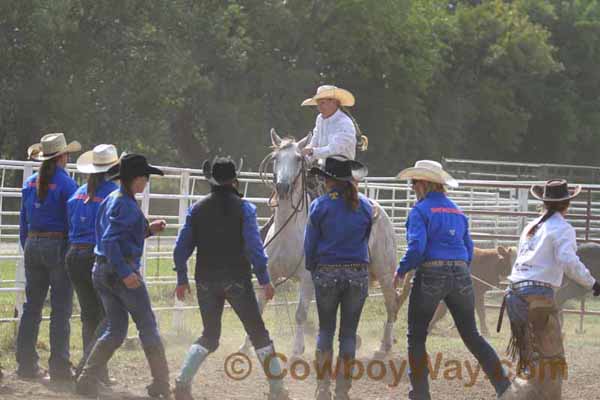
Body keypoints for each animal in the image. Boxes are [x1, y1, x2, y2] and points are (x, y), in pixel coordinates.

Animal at [239, 130, 398, 358]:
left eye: (298, 158)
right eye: (276, 158)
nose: (283, 187)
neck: (289, 230)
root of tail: (382, 213)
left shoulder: (307, 278)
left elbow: (300, 313)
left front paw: (297, 348)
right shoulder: (269, 273)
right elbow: (258, 309)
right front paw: (245, 347)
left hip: (385, 273)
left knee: (392, 303)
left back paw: (384, 346)